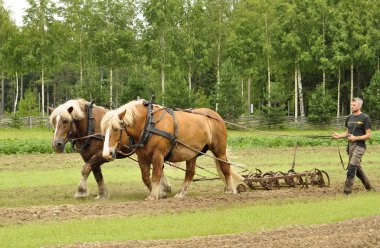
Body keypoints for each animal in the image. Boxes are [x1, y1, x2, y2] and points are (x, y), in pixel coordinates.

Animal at [100, 99, 243, 200]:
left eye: (116, 129)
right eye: (104, 130)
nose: (106, 154)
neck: (148, 124)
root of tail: (216, 115)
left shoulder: (158, 155)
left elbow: (156, 175)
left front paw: (153, 196)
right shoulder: (142, 158)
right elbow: (146, 177)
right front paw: (160, 193)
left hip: (219, 150)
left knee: (225, 167)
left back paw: (230, 189)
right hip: (192, 154)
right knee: (190, 173)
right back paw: (180, 194)